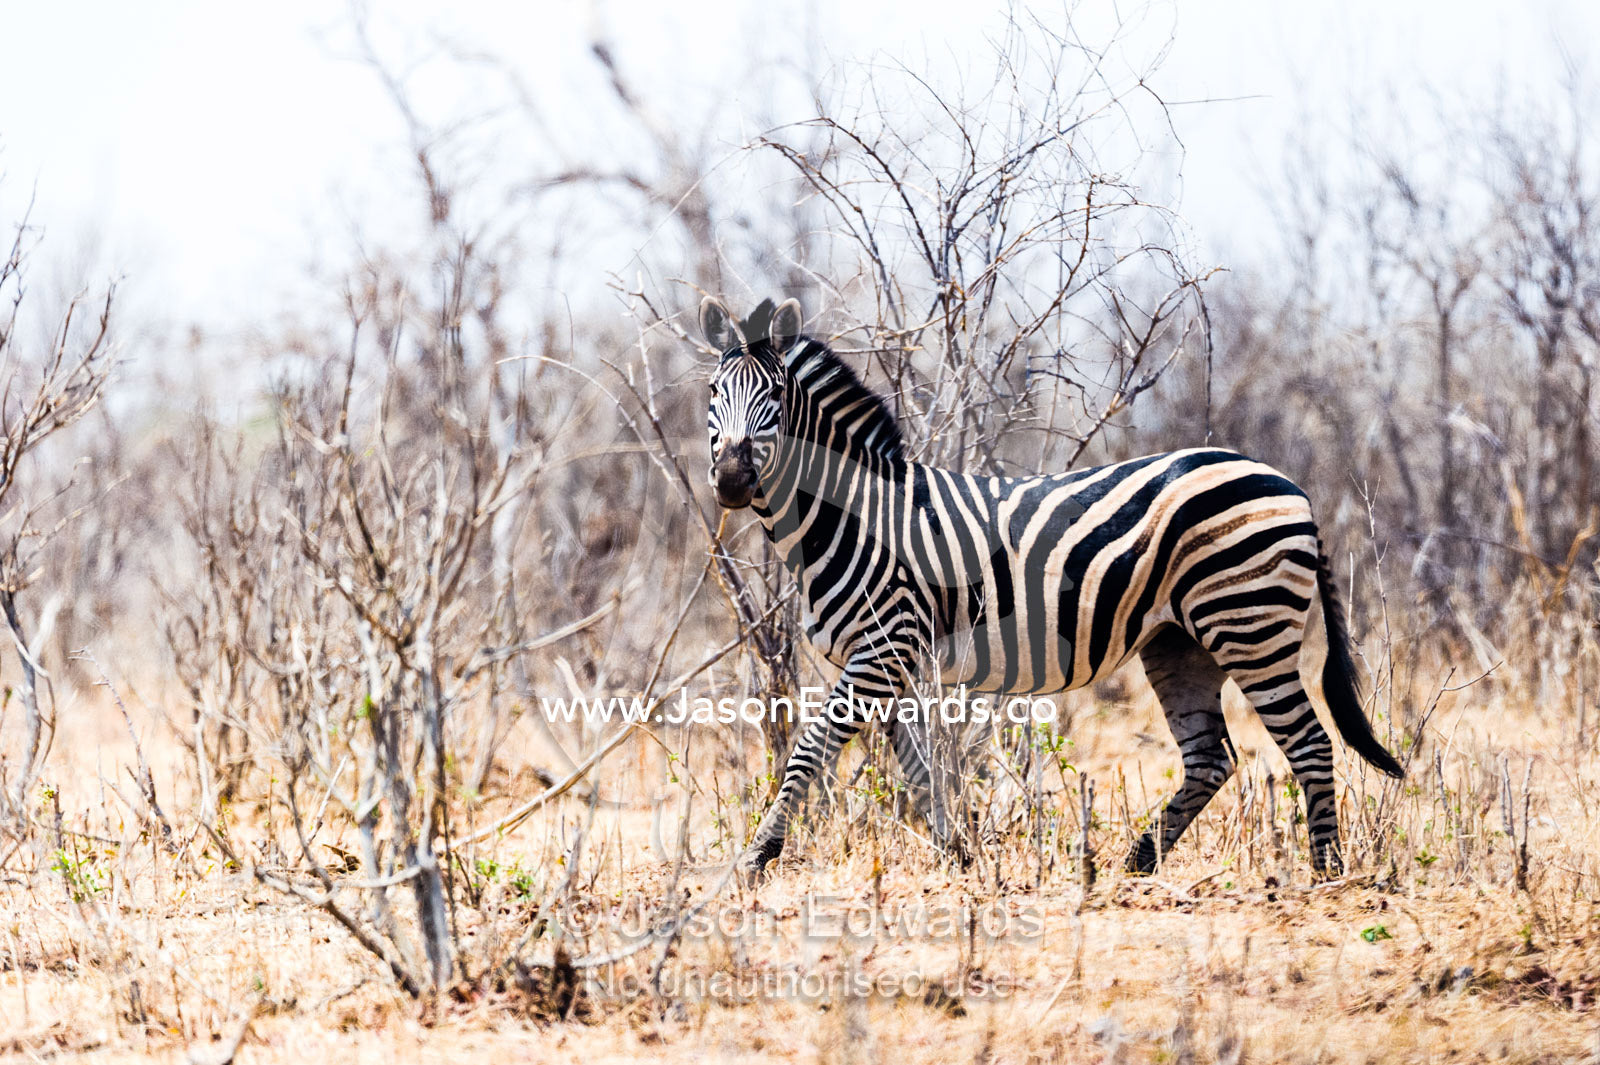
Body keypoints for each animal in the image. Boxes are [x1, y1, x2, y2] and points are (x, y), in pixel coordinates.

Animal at [700, 295, 1403, 883]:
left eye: (775, 397)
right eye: (712, 391)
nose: (732, 479)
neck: (855, 515)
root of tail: (1292, 485)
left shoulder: (882, 646)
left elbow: (809, 749)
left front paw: (756, 856)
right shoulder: (887, 659)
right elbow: (920, 770)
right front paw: (958, 857)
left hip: (1248, 624)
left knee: (1309, 742)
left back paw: (1326, 872)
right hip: (1179, 641)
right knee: (1211, 756)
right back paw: (1137, 863)